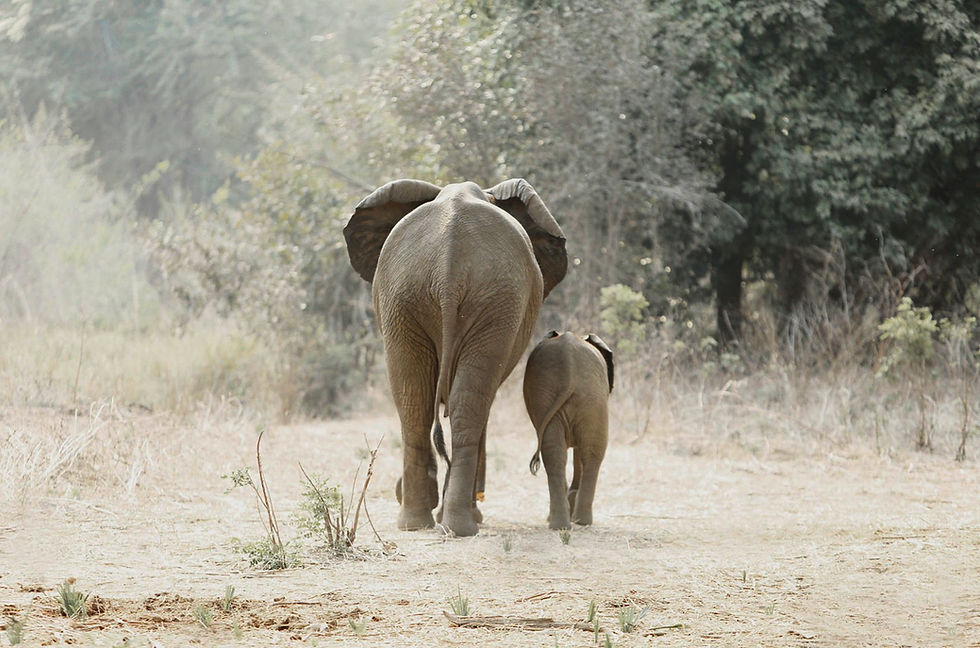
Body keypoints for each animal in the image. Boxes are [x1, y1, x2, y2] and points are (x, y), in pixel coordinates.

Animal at [343, 178, 567, 536]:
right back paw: (455, 525)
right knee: (454, 403)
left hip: (416, 297)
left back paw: (422, 523)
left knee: (417, 401)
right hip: (465, 300)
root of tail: (449, 260)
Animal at [523, 331, 614, 529]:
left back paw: (567, 523)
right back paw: (575, 522)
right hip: (586, 397)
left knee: (560, 453)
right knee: (587, 453)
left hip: (581, 398)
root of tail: (569, 364)